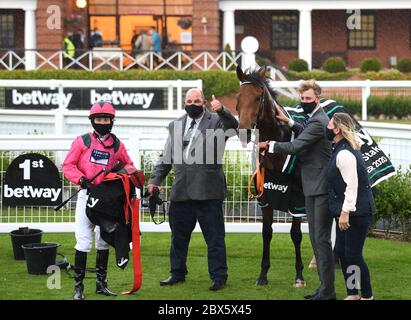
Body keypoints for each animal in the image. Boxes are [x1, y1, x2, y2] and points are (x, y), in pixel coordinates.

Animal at [235, 65, 306, 288]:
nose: (244, 131)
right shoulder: (264, 195)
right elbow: (266, 232)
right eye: (238, 96)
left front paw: (299, 275)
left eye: (258, 97)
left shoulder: (297, 199)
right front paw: (263, 274)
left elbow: (296, 234)